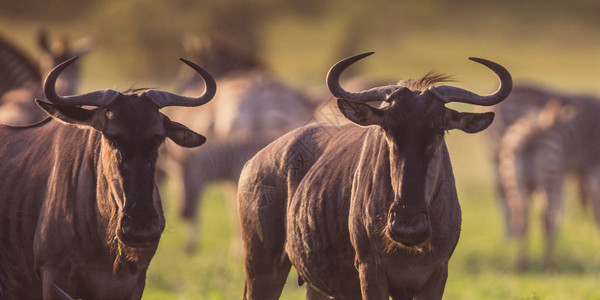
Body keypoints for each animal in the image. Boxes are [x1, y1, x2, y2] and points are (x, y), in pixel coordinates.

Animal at [490, 85, 600, 270]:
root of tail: (534, 129)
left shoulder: (553, 180)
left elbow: (559, 211)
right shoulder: (592, 167)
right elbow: (592, 210)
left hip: (513, 177)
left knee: (520, 218)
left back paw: (522, 264)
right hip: (547, 175)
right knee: (546, 218)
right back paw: (550, 264)